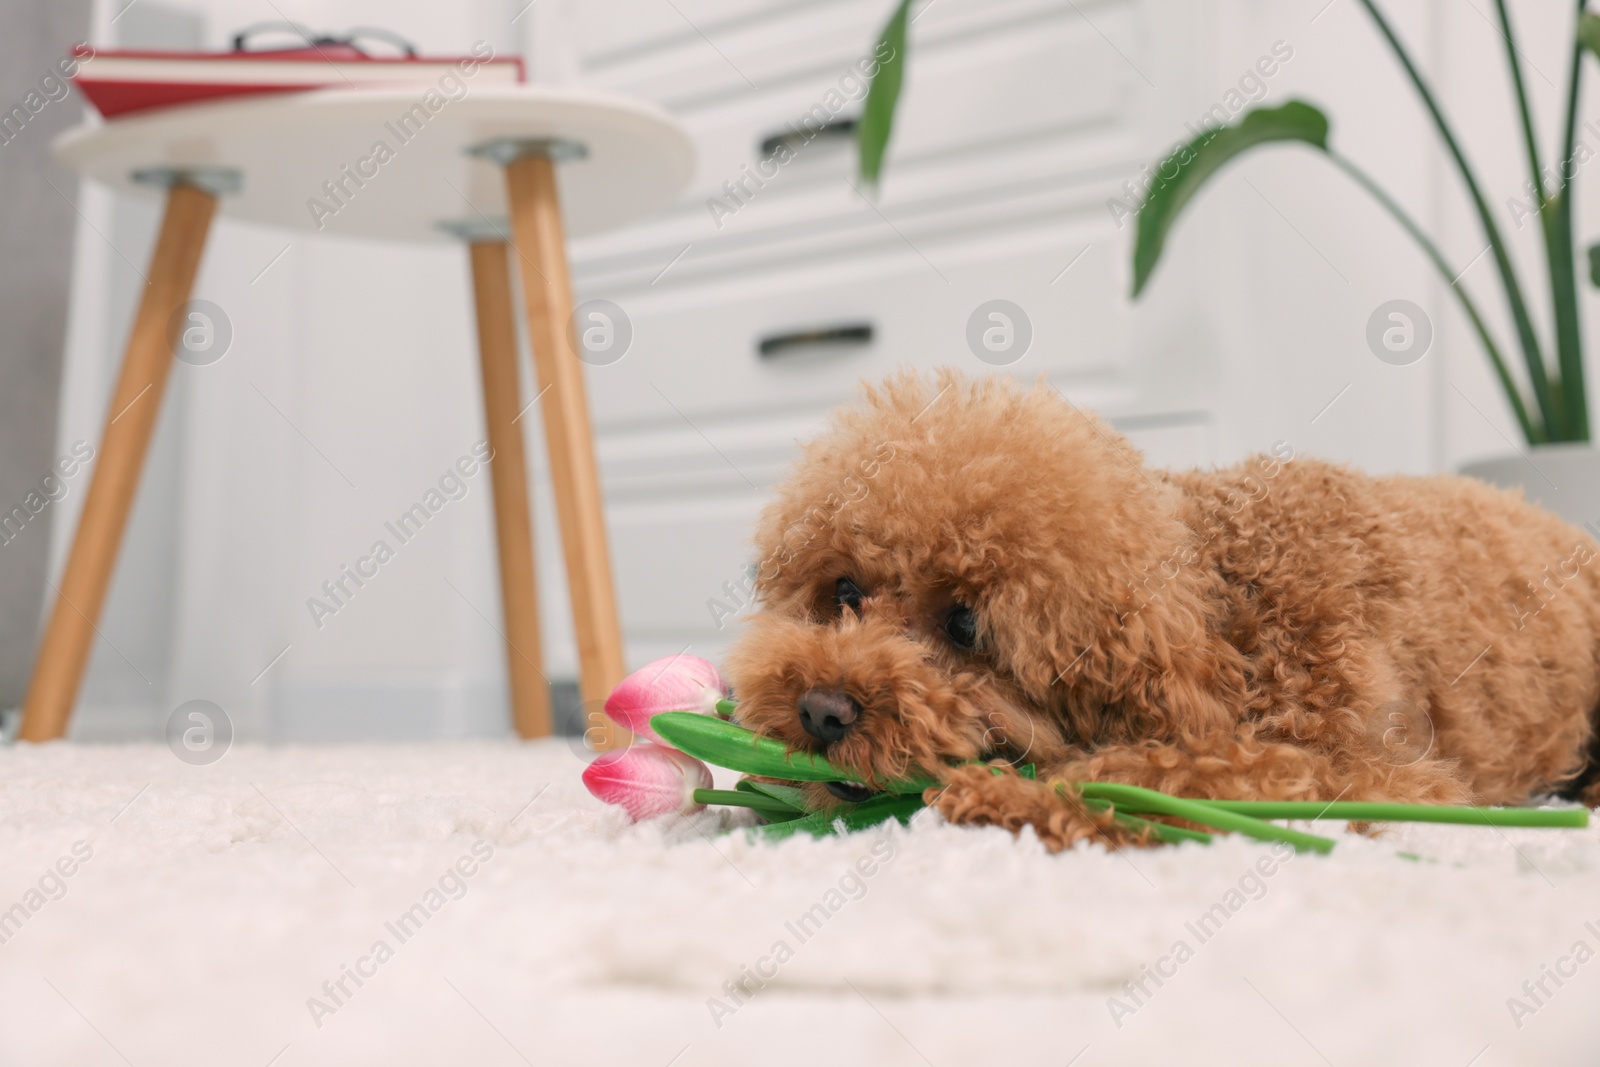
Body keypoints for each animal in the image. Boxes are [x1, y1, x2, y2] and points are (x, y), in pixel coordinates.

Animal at [726, 371, 1600, 844]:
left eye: (966, 625)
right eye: (844, 591)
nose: (822, 708)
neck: (1225, 616)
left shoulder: (1385, 774)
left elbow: (1180, 775)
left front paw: (1015, 796)